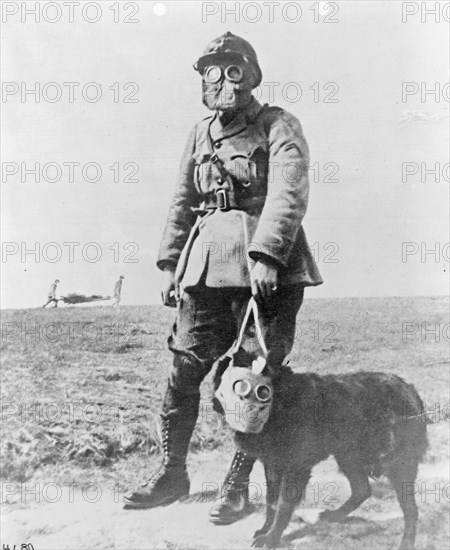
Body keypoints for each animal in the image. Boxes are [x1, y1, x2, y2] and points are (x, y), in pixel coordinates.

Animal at [214, 358, 428, 550]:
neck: (279, 404)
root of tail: (410, 389)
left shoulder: (296, 468)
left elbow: (283, 506)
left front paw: (272, 538)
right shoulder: (273, 465)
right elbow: (271, 502)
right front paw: (266, 530)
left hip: (397, 464)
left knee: (411, 510)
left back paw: (406, 543)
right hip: (347, 454)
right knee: (362, 490)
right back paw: (334, 515)